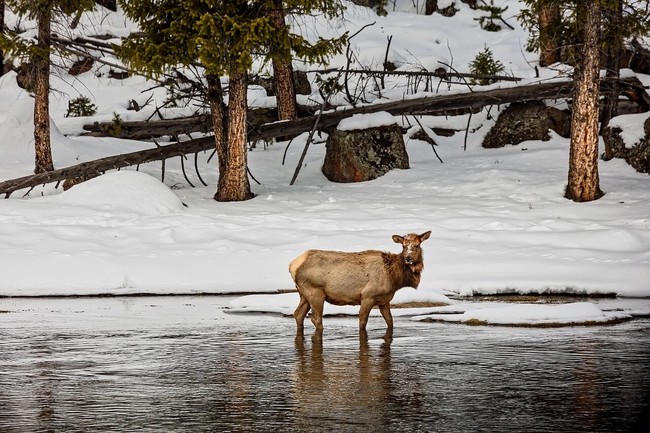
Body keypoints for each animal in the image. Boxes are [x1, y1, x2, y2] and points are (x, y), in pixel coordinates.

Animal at [288, 231, 430, 330]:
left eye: (417, 245)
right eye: (404, 246)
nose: (408, 258)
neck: (395, 278)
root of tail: (292, 265)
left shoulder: (384, 300)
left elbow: (390, 322)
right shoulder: (367, 296)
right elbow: (362, 322)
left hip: (303, 294)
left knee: (298, 314)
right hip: (315, 292)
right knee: (315, 318)